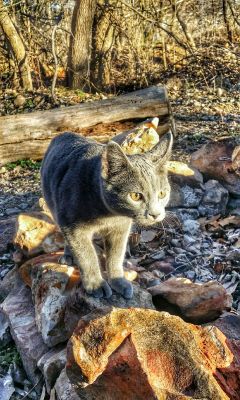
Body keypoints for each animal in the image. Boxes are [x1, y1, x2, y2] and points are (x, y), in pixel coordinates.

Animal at [41, 132, 172, 300]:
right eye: (135, 196)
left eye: (162, 194)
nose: (155, 214)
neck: (108, 215)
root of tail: (64, 134)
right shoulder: (73, 228)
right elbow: (86, 256)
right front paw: (96, 284)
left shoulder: (120, 229)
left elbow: (116, 255)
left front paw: (118, 281)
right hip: (54, 207)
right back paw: (68, 255)